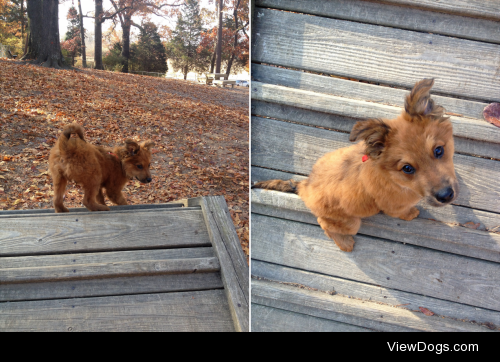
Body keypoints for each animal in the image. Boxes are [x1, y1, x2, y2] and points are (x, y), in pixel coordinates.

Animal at [252, 78, 458, 252]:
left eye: (439, 151)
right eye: (407, 168)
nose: (446, 195)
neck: (394, 178)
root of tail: (305, 185)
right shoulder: (394, 207)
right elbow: (403, 211)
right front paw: (411, 213)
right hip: (350, 222)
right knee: (325, 224)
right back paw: (344, 242)